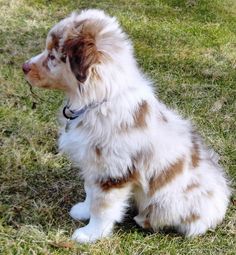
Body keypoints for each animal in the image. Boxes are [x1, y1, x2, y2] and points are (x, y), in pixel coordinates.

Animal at [22, 8, 230, 242]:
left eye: (52, 56)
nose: (24, 67)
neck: (97, 101)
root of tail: (222, 200)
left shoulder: (113, 171)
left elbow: (102, 207)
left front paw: (91, 234)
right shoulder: (93, 164)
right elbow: (90, 191)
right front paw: (83, 210)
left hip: (172, 201)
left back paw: (144, 219)